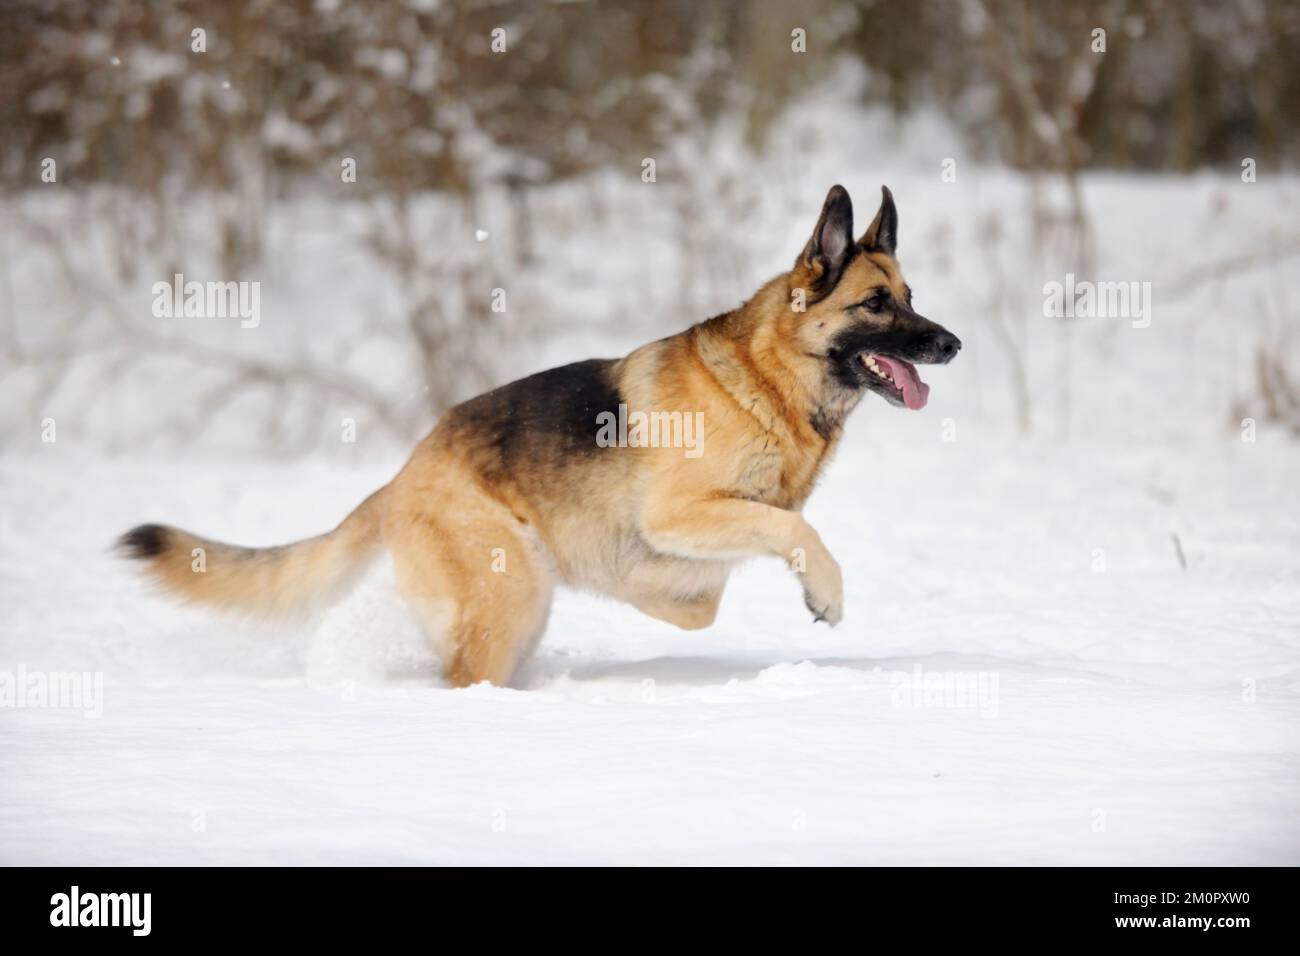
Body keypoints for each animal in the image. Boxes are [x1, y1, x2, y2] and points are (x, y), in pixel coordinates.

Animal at [119, 183, 956, 686]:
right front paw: (826, 592)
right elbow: (793, 530)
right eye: (876, 304)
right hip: (510, 594)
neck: (766, 382)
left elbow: (707, 589)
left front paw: (659, 588)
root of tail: (405, 471)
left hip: (523, 594)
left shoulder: (691, 533)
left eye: (912, 296)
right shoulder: (682, 510)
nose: (950, 344)